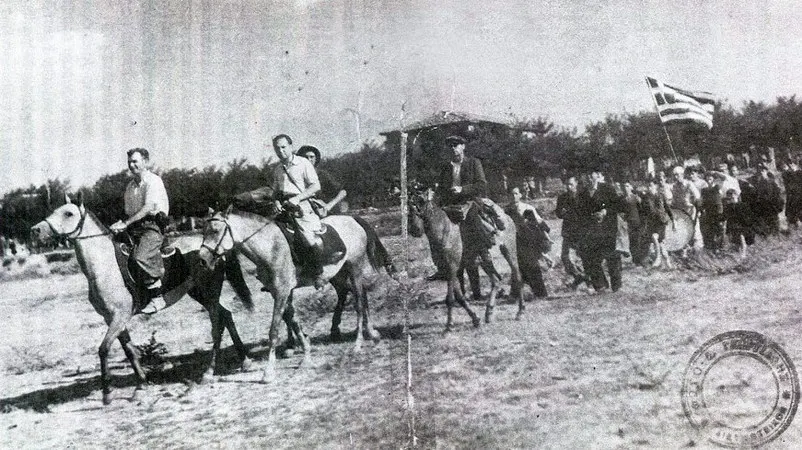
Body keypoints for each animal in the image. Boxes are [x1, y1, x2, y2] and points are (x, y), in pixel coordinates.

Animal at [406, 186, 524, 330]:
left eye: (422, 201)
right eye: (408, 203)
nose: (415, 229)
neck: (444, 232)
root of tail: (507, 217)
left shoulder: (452, 267)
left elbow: (450, 298)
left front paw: (449, 326)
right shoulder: (449, 270)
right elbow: (459, 297)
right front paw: (475, 319)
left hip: (509, 251)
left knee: (517, 276)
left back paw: (520, 312)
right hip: (483, 258)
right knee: (496, 280)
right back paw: (489, 312)